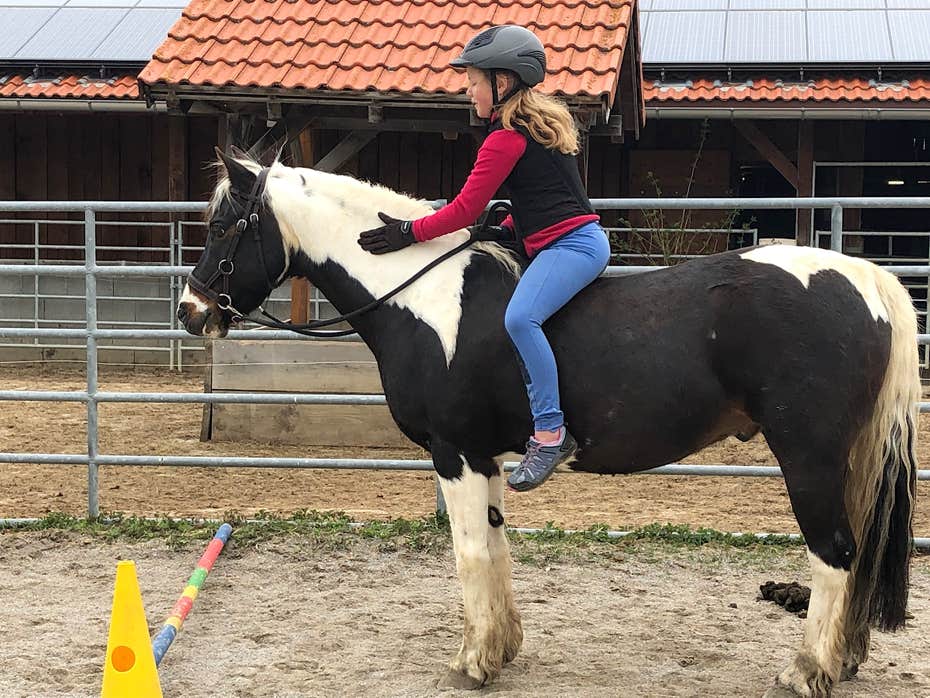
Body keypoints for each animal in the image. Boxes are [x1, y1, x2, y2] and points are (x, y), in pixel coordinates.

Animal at [177, 150, 919, 697]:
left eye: (223, 227)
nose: (191, 310)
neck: (426, 299)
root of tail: (863, 278)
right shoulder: (484, 456)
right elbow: (497, 549)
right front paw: (501, 648)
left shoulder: (455, 452)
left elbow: (471, 553)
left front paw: (473, 662)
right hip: (848, 460)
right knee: (858, 554)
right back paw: (842, 659)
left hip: (809, 456)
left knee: (835, 554)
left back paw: (808, 669)